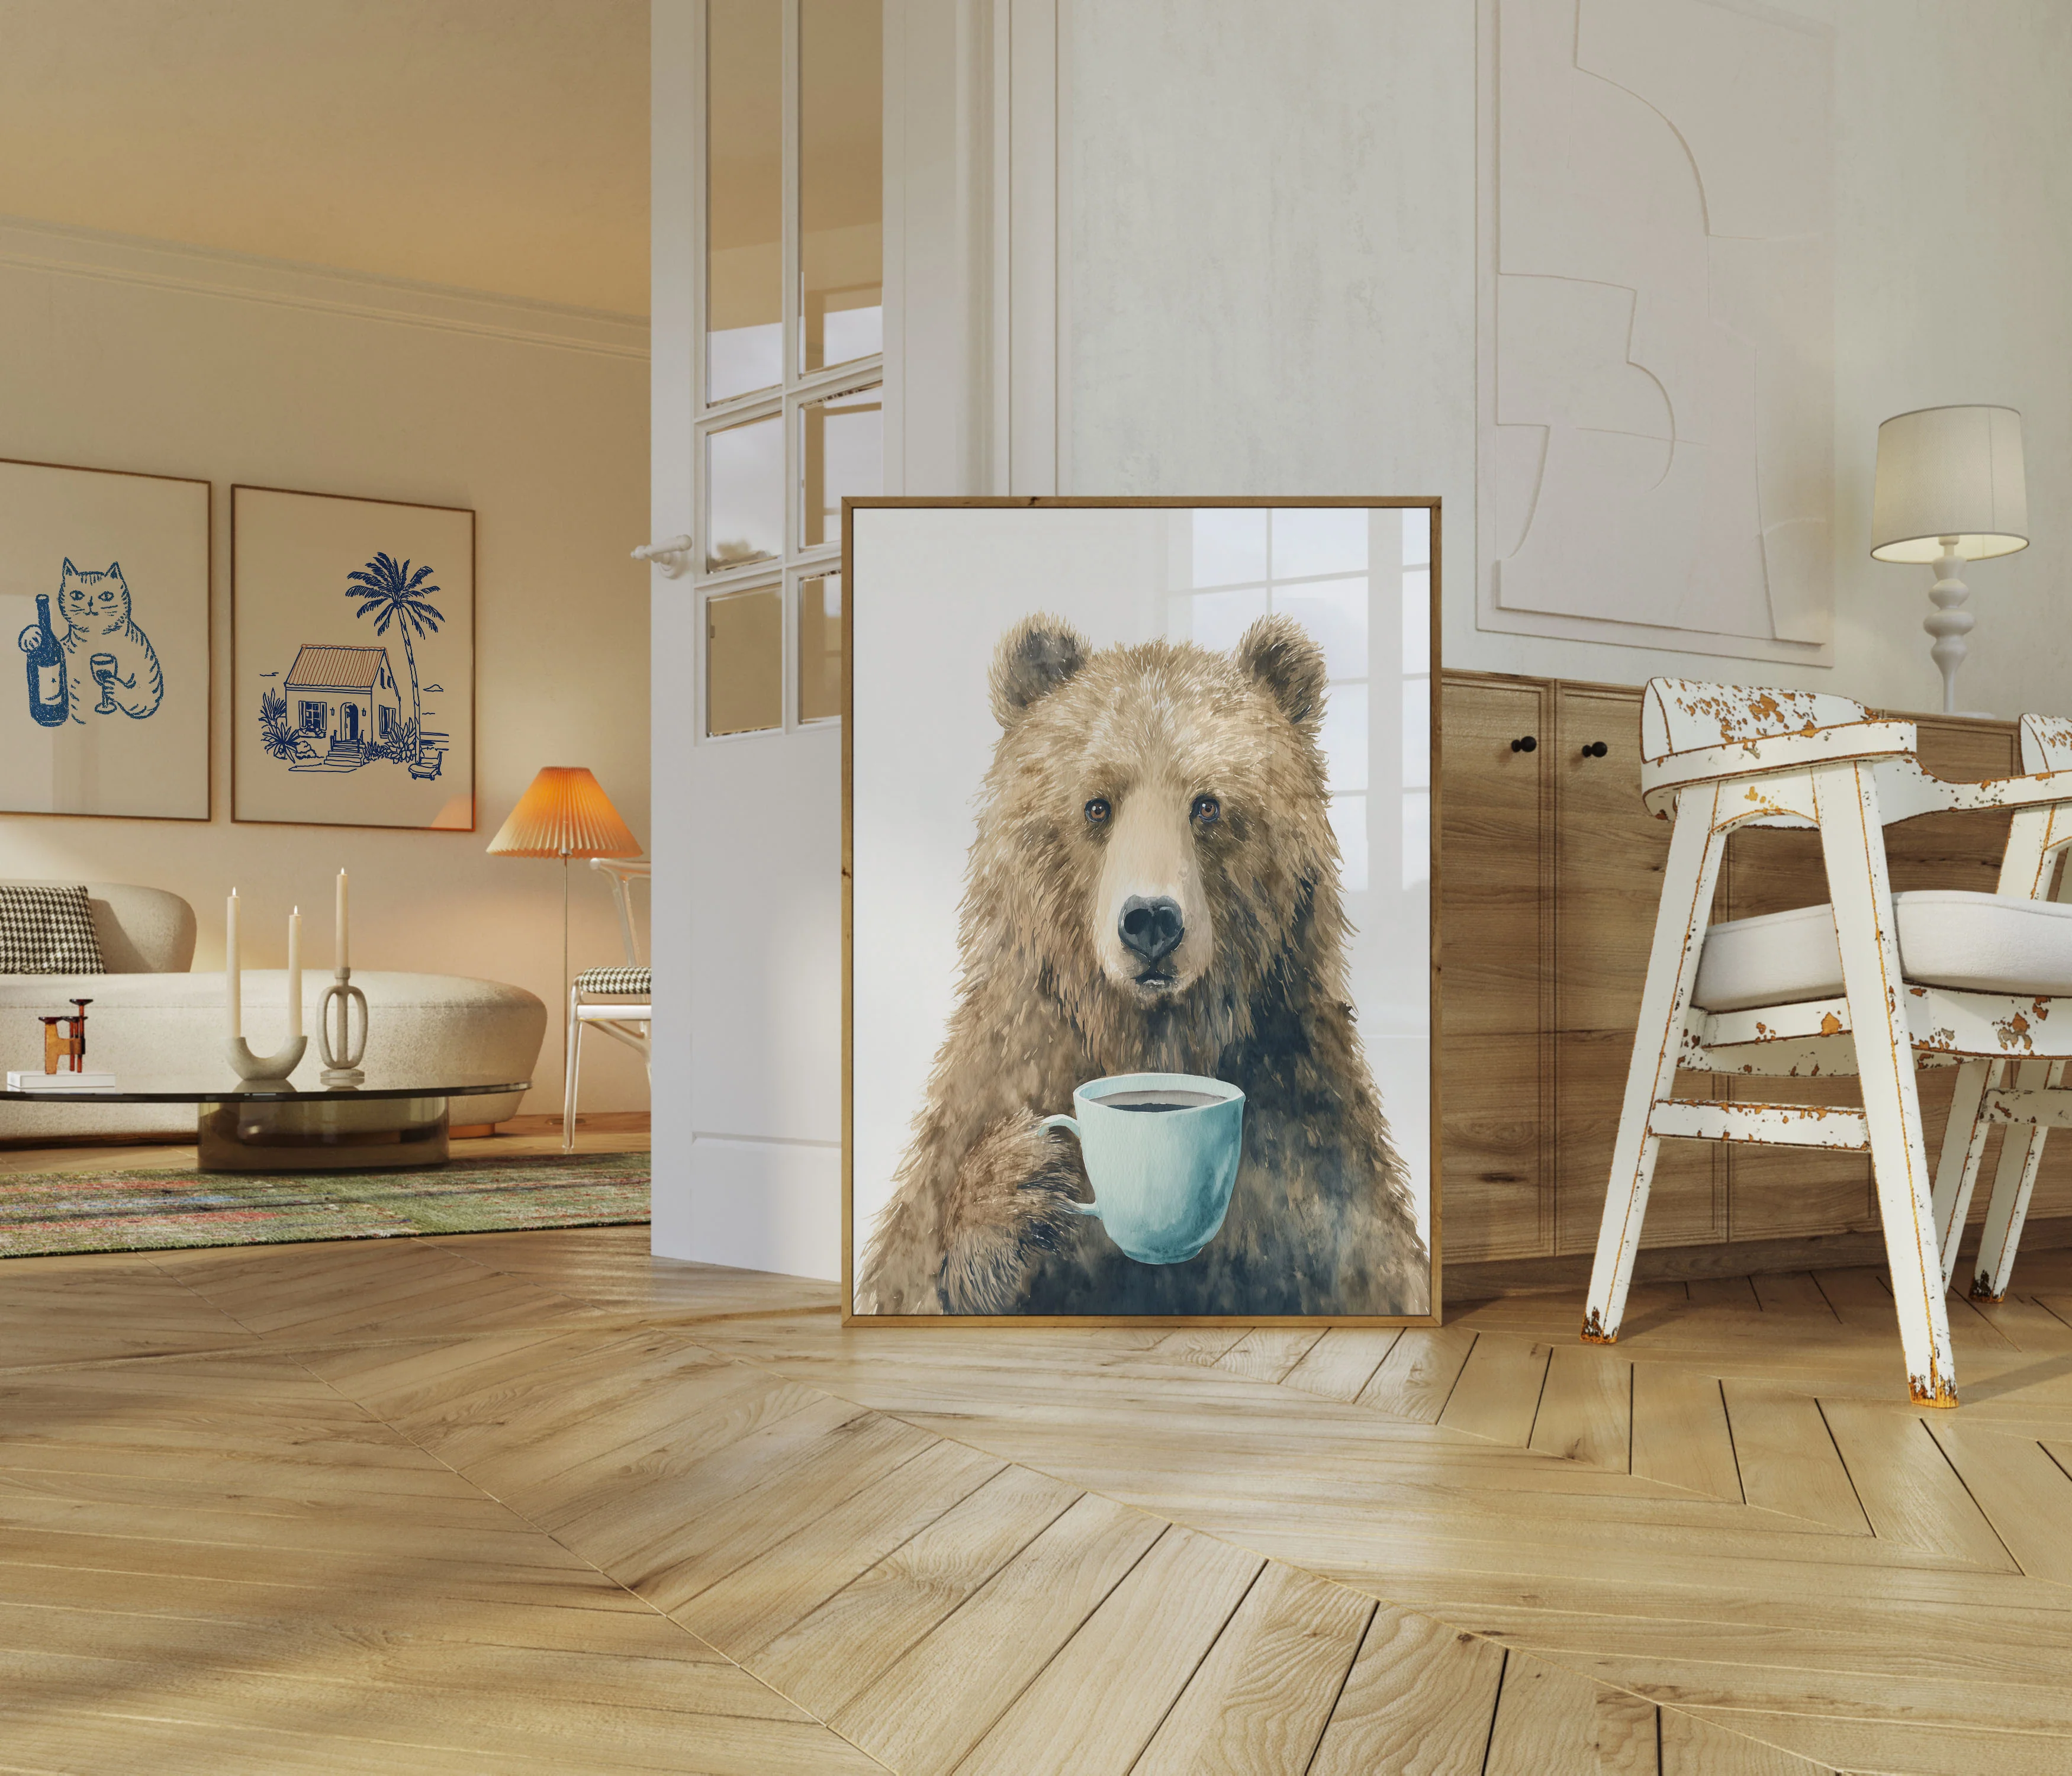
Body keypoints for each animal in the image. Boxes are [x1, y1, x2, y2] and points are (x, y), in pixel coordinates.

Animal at [856, 610, 1429, 1318]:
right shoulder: (1004, 1072)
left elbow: (1368, 1270)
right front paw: (1016, 1186)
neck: (1152, 1038)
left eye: (1208, 804)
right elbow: (910, 1271)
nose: (1151, 922)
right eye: (1096, 805)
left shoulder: (1305, 1151)